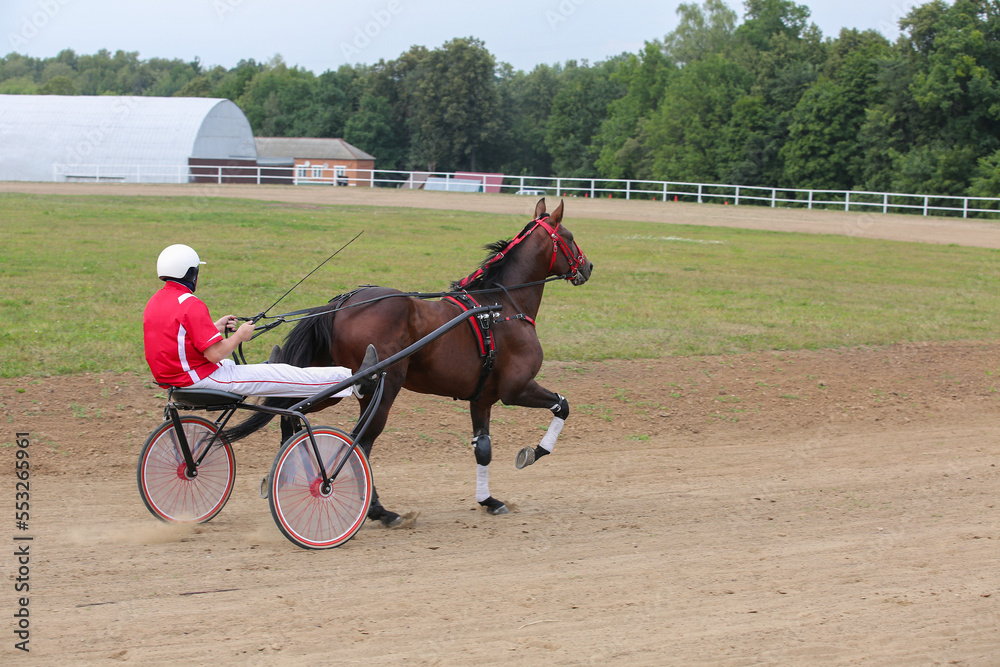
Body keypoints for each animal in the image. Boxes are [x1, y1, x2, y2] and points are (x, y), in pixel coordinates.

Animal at [224, 198, 593, 526]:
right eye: (570, 237)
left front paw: (489, 500)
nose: (588, 267)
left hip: (331, 382)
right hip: (382, 388)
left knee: (291, 411)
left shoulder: (482, 398)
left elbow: (483, 449)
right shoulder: (515, 390)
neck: (502, 305)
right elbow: (562, 405)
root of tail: (341, 304)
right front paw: (534, 452)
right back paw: (377, 510)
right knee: (360, 440)